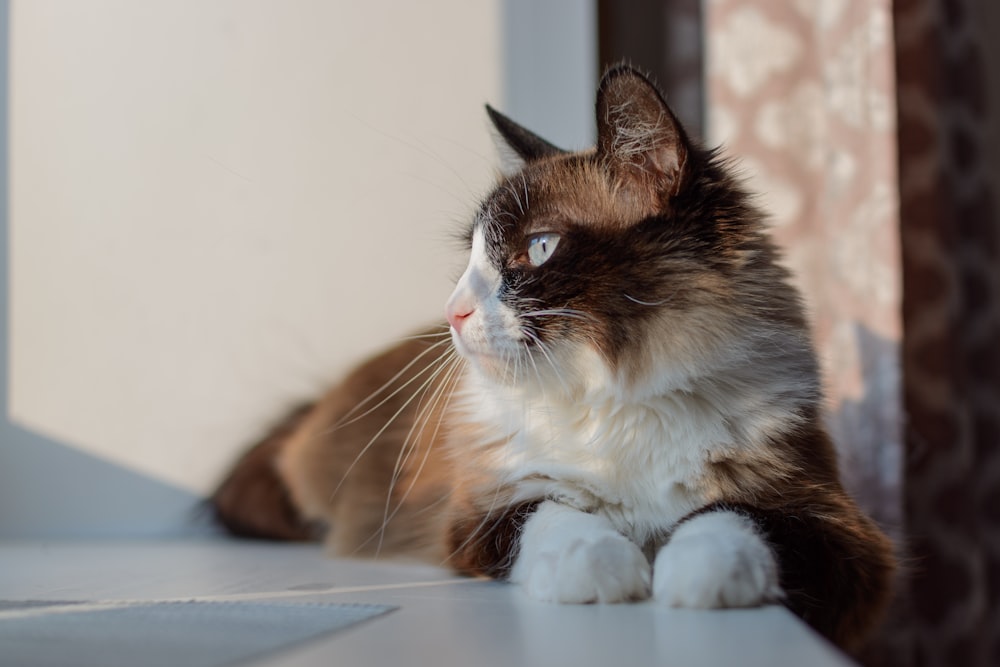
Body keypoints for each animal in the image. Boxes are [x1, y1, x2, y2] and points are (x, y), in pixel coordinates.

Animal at [213, 66, 900, 652]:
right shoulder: (482, 508)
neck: (615, 394)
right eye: (471, 259)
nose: (453, 312)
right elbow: (556, 516)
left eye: (538, 248)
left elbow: (729, 522)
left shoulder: (836, 525)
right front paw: (604, 572)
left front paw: (694, 578)